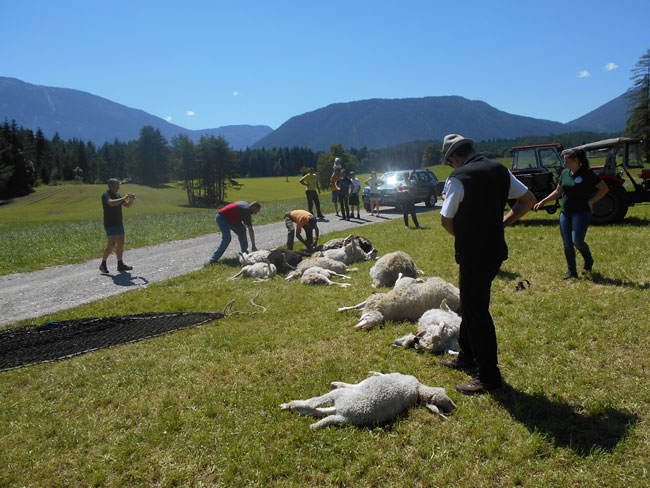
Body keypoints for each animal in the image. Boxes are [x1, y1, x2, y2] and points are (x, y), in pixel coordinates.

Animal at [280, 372, 456, 428]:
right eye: (445, 394)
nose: (454, 406)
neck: (418, 390)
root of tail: (345, 415)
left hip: (340, 398)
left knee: (313, 404)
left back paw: (290, 405)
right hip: (339, 410)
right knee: (320, 412)